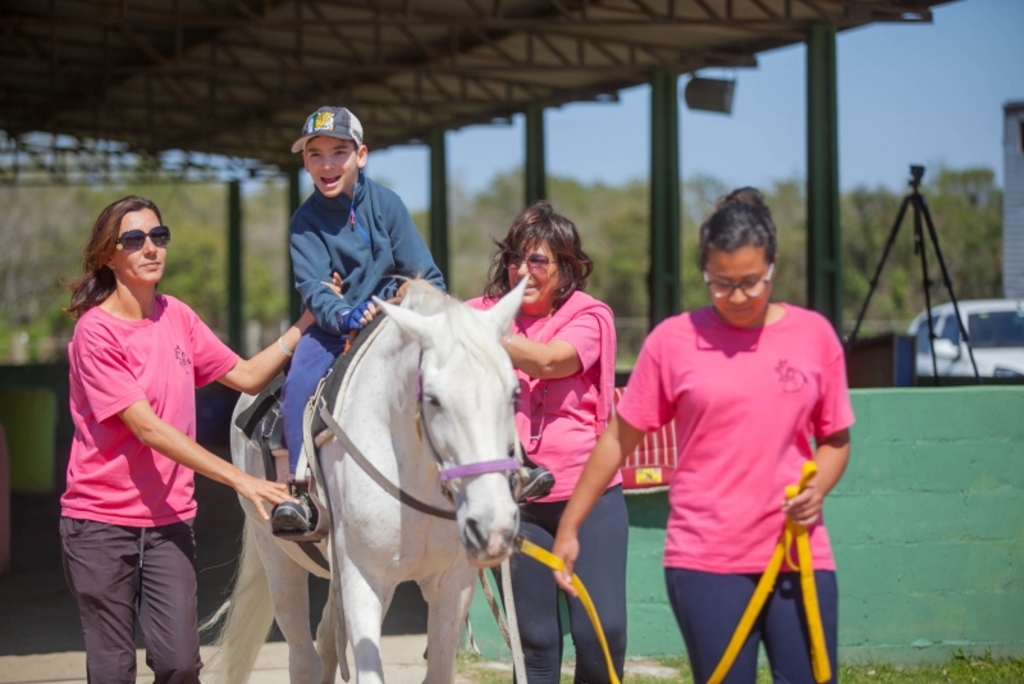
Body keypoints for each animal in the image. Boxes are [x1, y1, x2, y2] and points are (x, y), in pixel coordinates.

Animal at [207, 282, 528, 684]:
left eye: (513, 393)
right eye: (433, 398)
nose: (493, 525)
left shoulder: (454, 584)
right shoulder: (364, 579)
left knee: (327, 642)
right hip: (278, 556)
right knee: (303, 656)